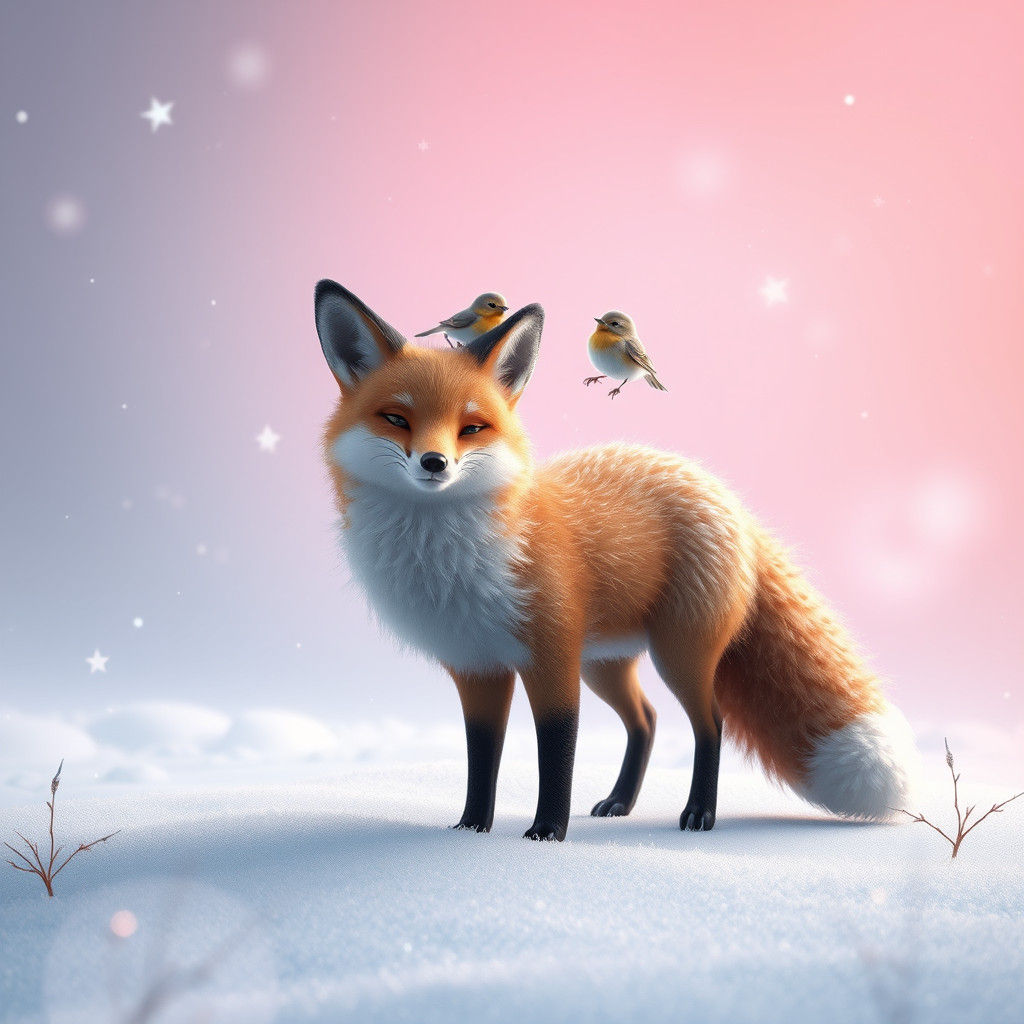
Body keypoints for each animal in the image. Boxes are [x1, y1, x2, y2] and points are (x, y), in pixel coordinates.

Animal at [314, 279, 917, 841]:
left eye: (472, 428)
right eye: (396, 419)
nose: (435, 463)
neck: (451, 562)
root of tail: (718, 491)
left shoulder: (552, 657)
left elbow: (556, 753)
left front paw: (546, 834)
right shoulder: (476, 665)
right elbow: (481, 756)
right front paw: (471, 829)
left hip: (679, 653)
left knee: (710, 723)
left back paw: (699, 813)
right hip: (607, 661)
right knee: (645, 721)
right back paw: (620, 802)